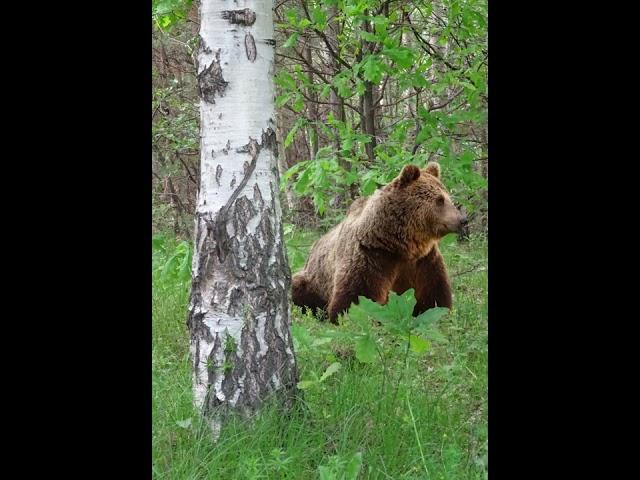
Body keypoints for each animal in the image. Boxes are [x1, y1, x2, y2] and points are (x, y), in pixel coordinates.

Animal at [290, 163, 464, 324]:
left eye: (448, 198)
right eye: (439, 200)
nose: (463, 219)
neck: (401, 246)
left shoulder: (424, 261)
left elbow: (434, 294)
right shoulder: (371, 256)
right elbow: (358, 297)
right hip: (313, 282)